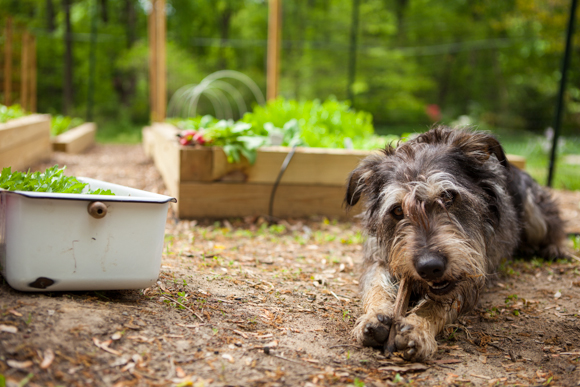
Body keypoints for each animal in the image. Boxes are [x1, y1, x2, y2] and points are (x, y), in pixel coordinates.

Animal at [344, 126, 568, 362]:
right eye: (397, 210)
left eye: (448, 196)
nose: (429, 267)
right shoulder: (378, 257)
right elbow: (376, 285)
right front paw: (374, 317)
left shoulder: (471, 273)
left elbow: (436, 304)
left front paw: (418, 327)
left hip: (534, 210)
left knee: (553, 224)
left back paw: (553, 248)